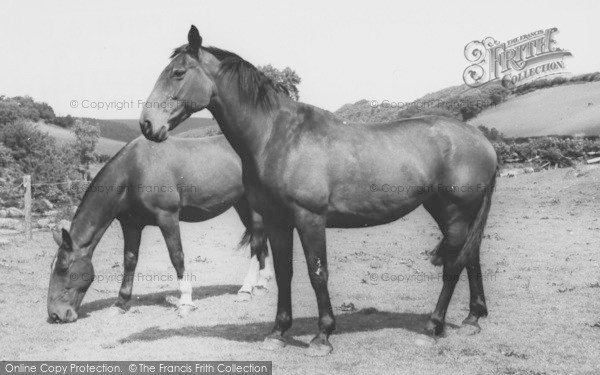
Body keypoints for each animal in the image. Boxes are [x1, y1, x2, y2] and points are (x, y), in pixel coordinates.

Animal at [47, 137, 274, 324]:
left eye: (64, 267)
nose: (56, 314)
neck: (134, 171)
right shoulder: (131, 225)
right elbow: (130, 260)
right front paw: (121, 304)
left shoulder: (168, 218)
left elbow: (177, 257)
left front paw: (185, 302)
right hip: (242, 205)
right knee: (261, 241)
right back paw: (261, 283)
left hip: (253, 207)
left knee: (256, 242)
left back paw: (246, 289)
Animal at [139, 25, 496, 356]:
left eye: (178, 72)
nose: (146, 124)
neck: (277, 136)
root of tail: (482, 140)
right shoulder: (276, 220)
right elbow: (284, 272)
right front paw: (277, 332)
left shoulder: (310, 218)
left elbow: (317, 273)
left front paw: (322, 336)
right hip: (446, 211)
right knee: (471, 257)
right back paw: (472, 319)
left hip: (455, 212)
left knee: (453, 265)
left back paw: (433, 327)